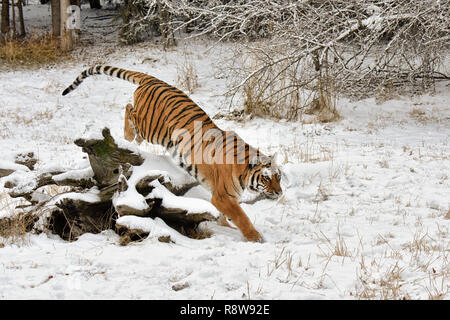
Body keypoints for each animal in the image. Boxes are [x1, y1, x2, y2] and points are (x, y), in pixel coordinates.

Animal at [62, 64, 282, 242]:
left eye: (278, 177)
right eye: (266, 178)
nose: (280, 193)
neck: (243, 170)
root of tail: (153, 79)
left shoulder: (220, 195)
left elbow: (224, 215)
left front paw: (225, 227)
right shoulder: (223, 197)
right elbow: (241, 216)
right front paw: (255, 237)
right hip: (151, 128)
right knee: (129, 108)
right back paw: (127, 136)